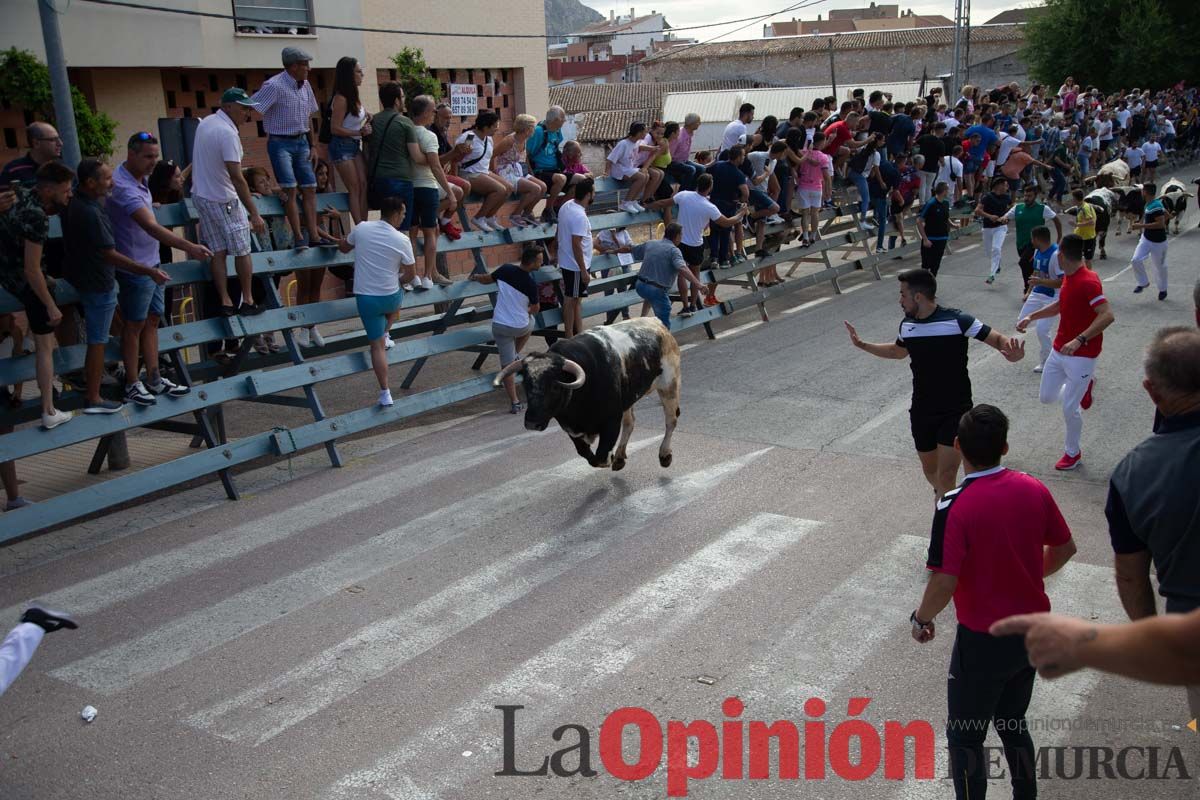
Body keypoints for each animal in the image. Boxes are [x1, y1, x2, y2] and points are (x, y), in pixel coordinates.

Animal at [492, 316, 681, 470]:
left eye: (554, 387)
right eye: (526, 384)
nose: (531, 422)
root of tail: (657, 324)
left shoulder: (611, 420)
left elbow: (602, 455)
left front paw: (609, 458)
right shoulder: (570, 427)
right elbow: (586, 453)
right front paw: (610, 458)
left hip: (669, 386)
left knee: (671, 420)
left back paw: (665, 454)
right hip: (629, 398)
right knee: (630, 423)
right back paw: (620, 458)